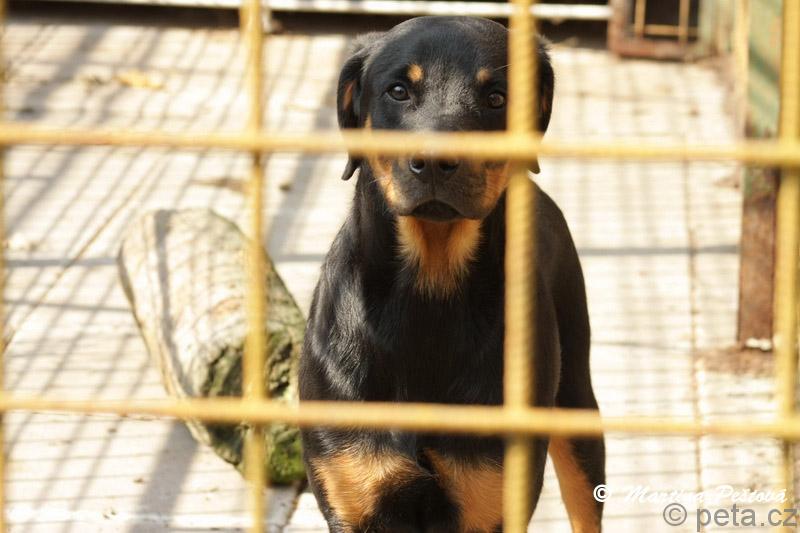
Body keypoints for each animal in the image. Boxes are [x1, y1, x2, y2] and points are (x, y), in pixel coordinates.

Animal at [299, 16, 605, 533]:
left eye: (497, 98)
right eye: (398, 90)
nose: (436, 160)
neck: (429, 290)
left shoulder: (491, 492)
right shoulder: (350, 483)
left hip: (576, 400)